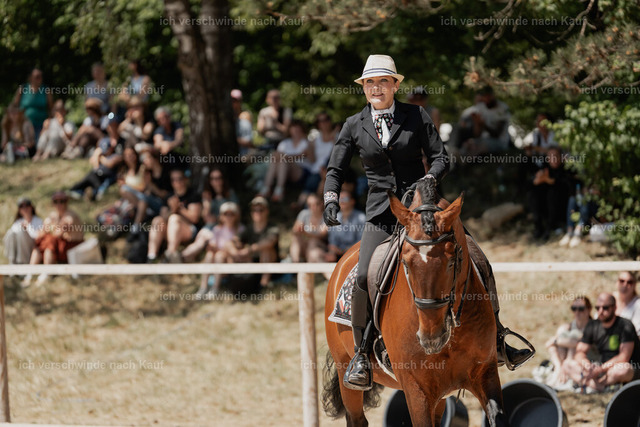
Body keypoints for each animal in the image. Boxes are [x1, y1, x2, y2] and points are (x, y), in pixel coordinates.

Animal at [323, 180, 509, 427]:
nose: (431, 338)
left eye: (452, 262)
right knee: (356, 418)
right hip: (346, 370)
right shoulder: (416, 389)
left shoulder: (485, 374)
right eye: (406, 263)